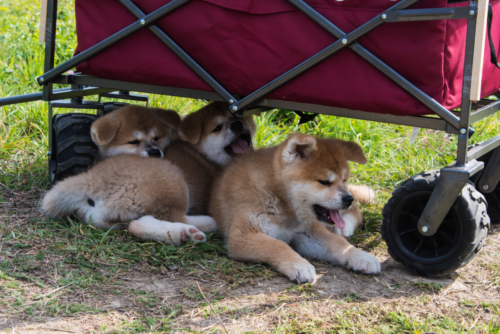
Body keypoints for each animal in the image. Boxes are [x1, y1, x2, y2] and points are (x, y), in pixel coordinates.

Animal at [209, 132, 380, 282]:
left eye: (344, 179)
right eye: (324, 182)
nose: (348, 199)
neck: (280, 199)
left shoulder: (307, 231)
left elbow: (337, 243)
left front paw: (360, 256)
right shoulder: (243, 235)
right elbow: (277, 245)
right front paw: (298, 264)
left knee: (355, 212)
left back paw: (345, 228)